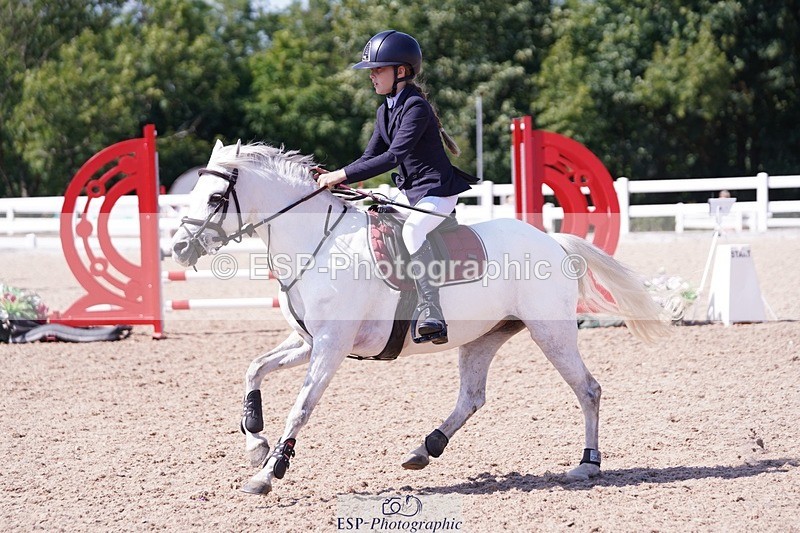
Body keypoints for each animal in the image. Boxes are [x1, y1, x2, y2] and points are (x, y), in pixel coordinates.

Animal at [170, 140, 667, 495]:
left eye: (215, 197)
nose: (177, 248)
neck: (318, 243)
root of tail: (554, 241)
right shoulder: (310, 342)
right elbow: (254, 368)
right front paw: (255, 443)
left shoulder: (331, 346)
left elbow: (302, 406)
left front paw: (269, 472)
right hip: (484, 337)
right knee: (472, 397)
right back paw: (425, 449)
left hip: (551, 332)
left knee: (588, 389)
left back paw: (587, 464)